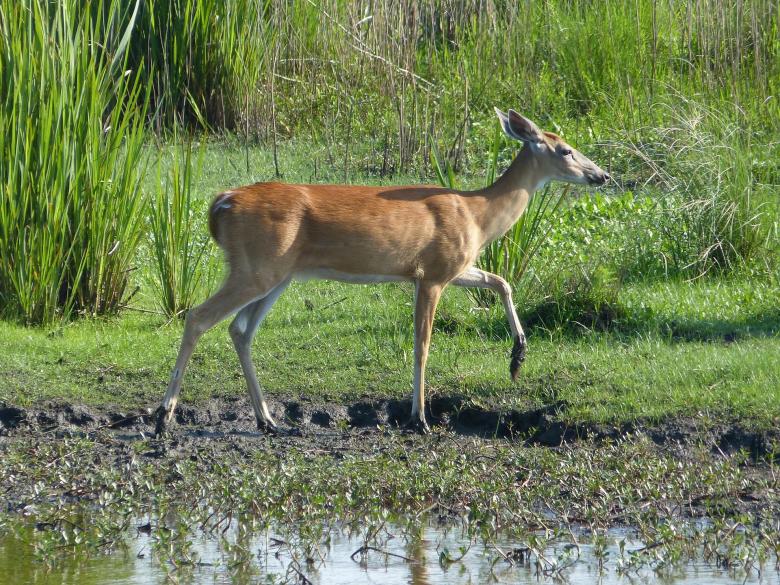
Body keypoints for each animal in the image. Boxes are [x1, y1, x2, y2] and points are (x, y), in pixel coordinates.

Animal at [153, 108, 610, 436]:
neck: (478, 215)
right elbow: (422, 345)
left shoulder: (453, 266)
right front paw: (419, 419)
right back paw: (164, 417)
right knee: (198, 317)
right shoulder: (433, 274)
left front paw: (517, 358)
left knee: (240, 330)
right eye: (565, 149)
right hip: (257, 268)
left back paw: (268, 420)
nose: (602, 175)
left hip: (277, 274)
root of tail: (221, 203)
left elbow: (502, 281)